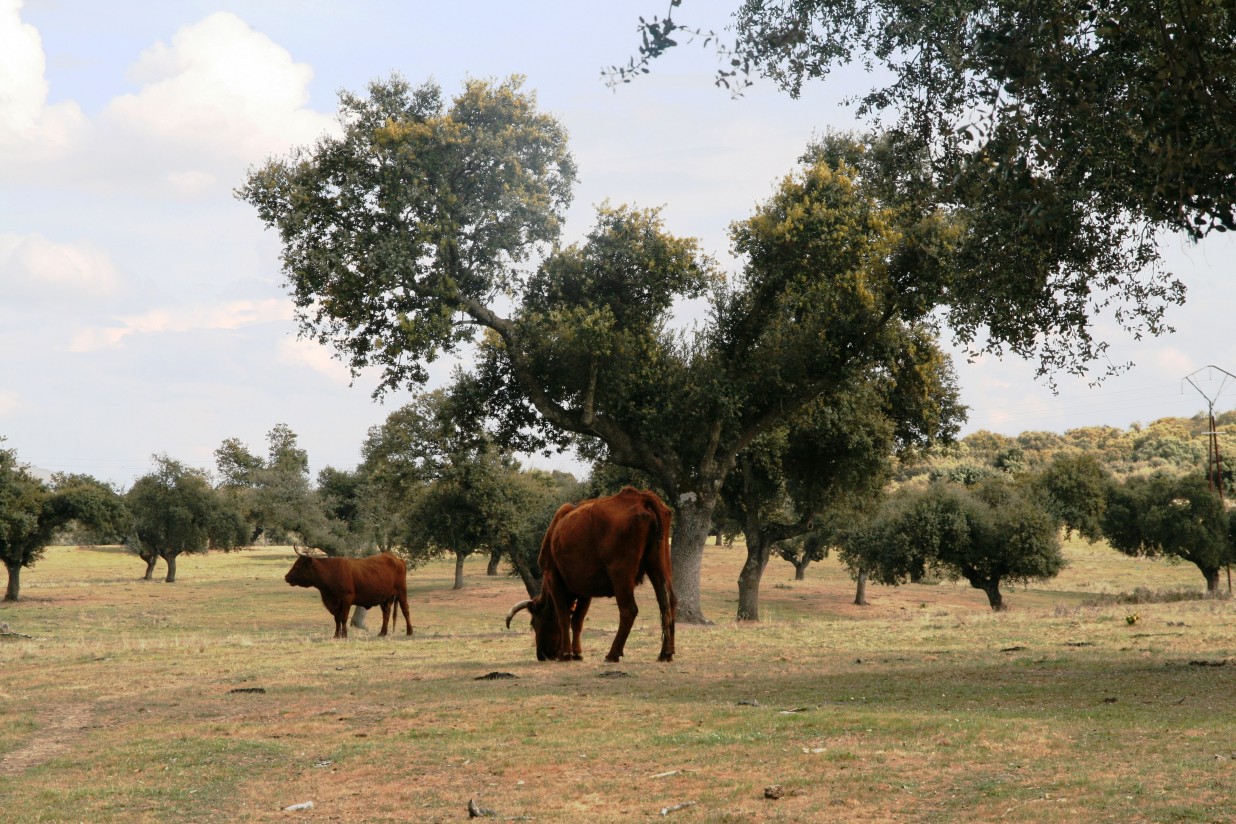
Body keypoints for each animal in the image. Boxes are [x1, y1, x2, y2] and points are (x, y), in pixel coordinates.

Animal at [501, 489, 677, 662]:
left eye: (534, 622)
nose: (542, 655)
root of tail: (641, 497)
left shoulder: (553, 578)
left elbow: (564, 617)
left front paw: (566, 653)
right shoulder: (585, 589)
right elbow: (577, 621)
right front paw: (577, 653)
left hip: (621, 574)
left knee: (629, 610)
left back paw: (613, 654)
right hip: (659, 566)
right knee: (668, 603)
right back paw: (666, 653)